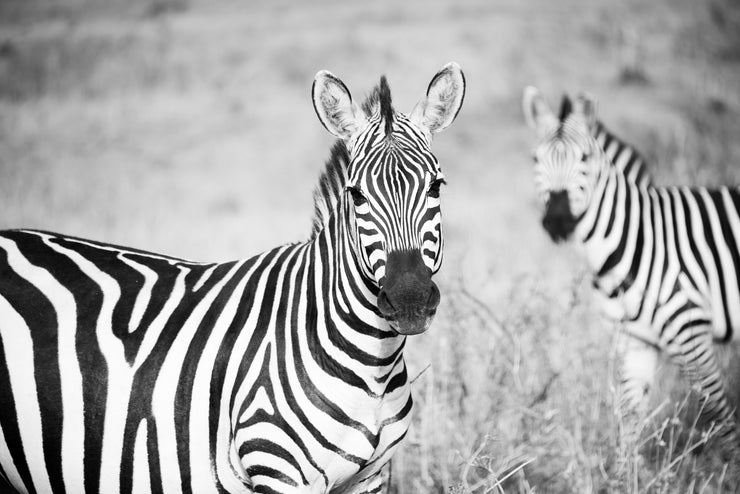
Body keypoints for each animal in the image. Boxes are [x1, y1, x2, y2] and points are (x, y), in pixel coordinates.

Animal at [0, 62, 462, 494]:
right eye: (356, 195)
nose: (409, 300)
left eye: (437, 187)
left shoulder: (370, 477)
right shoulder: (277, 470)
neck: (372, 366)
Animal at [520, 87, 740, 450]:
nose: (557, 221)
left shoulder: (691, 332)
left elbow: (720, 418)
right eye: (536, 160)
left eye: (584, 159)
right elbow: (630, 423)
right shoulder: (634, 342)